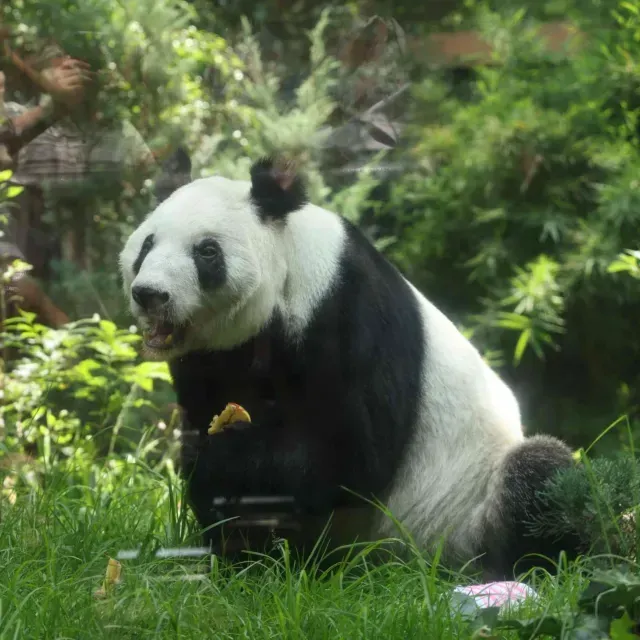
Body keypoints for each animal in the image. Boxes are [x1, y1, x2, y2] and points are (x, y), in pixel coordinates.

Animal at [119, 153, 580, 579]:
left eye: (207, 252)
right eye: (147, 245)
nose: (150, 294)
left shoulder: (346, 307)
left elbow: (352, 451)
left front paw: (221, 456)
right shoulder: (212, 355)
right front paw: (235, 551)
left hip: (461, 511)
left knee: (540, 476)